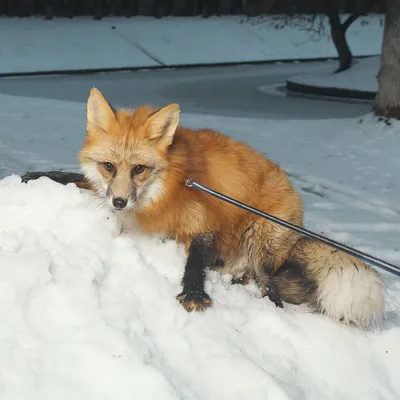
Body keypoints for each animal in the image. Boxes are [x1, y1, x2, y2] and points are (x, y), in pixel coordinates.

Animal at [22, 87, 384, 328]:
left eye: (139, 169)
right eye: (109, 166)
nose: (119, 202)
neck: (166, 189)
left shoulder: (203, 220)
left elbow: (194, 261)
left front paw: (193, 292)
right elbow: (74, 179)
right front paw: (38, 175)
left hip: (260, 239)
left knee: (272, 286)